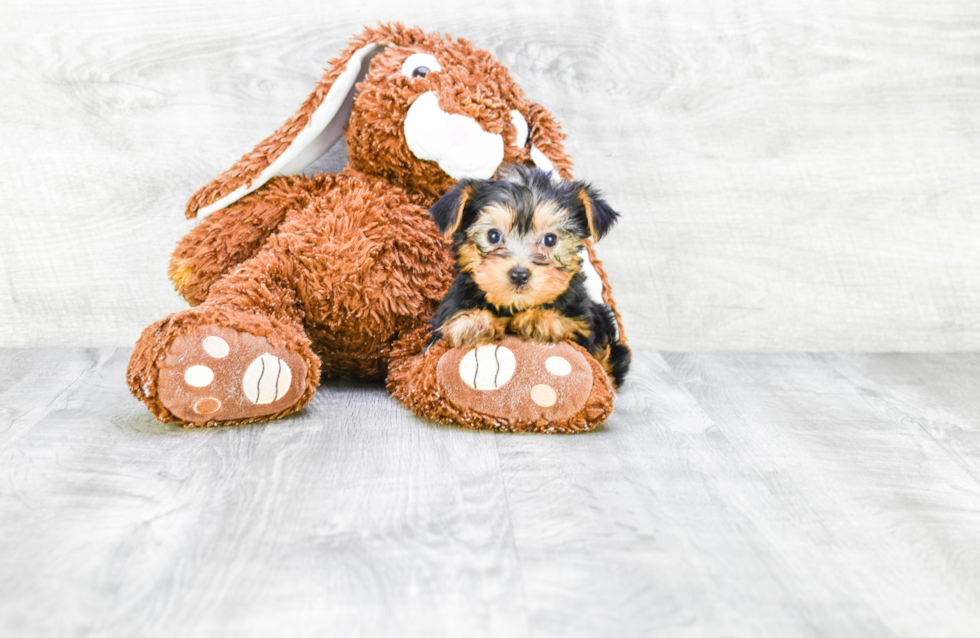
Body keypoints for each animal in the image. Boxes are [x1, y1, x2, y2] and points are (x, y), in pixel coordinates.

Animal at [430, 165, 632, 390]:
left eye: (550, 239)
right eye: (493, 235)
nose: (519, 275)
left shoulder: (584, 326)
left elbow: (571, 327)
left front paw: (539, 319)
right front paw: (473, 322)